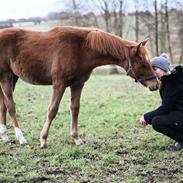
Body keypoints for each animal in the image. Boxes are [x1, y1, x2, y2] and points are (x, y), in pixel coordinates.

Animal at [0, 26, 159, 147]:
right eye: (143, 63)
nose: (156, 85)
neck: (81, 49)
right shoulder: (59, 84)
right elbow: (52, 110)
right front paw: (43, 140)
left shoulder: (77, 85)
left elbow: (75, 109)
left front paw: (76, 139)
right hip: (6, 77)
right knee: (10, 105)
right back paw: (21, 138)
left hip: (12, 78)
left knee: (3, 105)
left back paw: (5, 137)